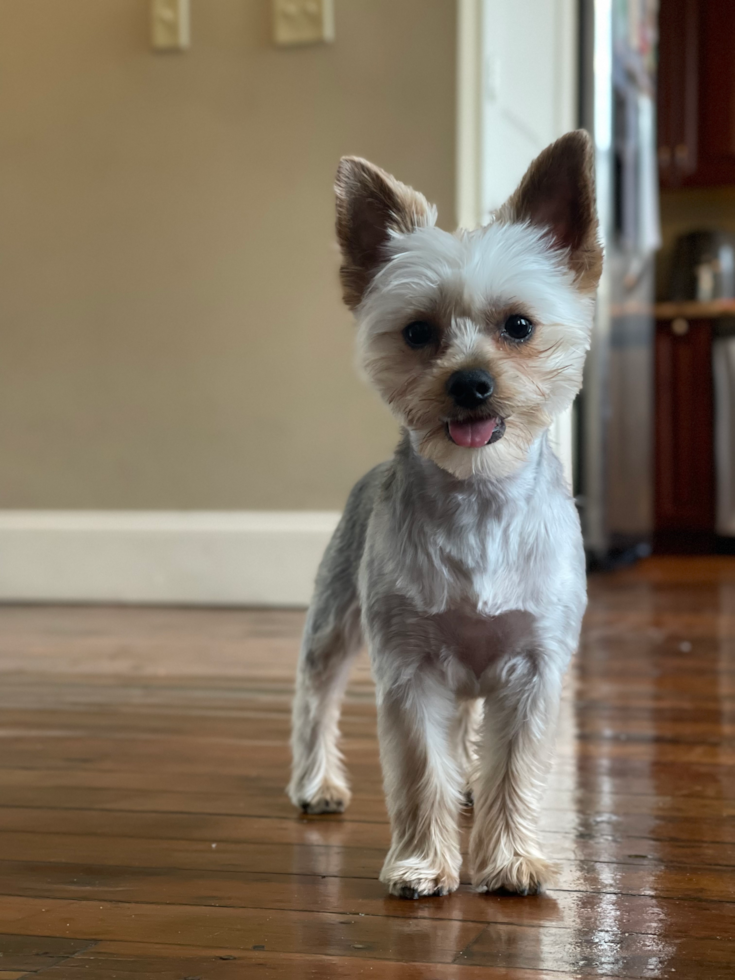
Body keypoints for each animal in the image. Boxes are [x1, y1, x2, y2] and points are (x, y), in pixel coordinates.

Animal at [288, 134, 604, 900]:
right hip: (334, 621)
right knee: (315, 698)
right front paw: (423, 864)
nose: (470, 384)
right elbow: (419, 769)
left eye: (518, 326)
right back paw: (315, 783)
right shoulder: (410, 667)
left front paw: (511, 858)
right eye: (417, 332)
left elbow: (514, 768)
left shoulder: (534, 665)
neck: (479, 497)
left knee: (465, 731)